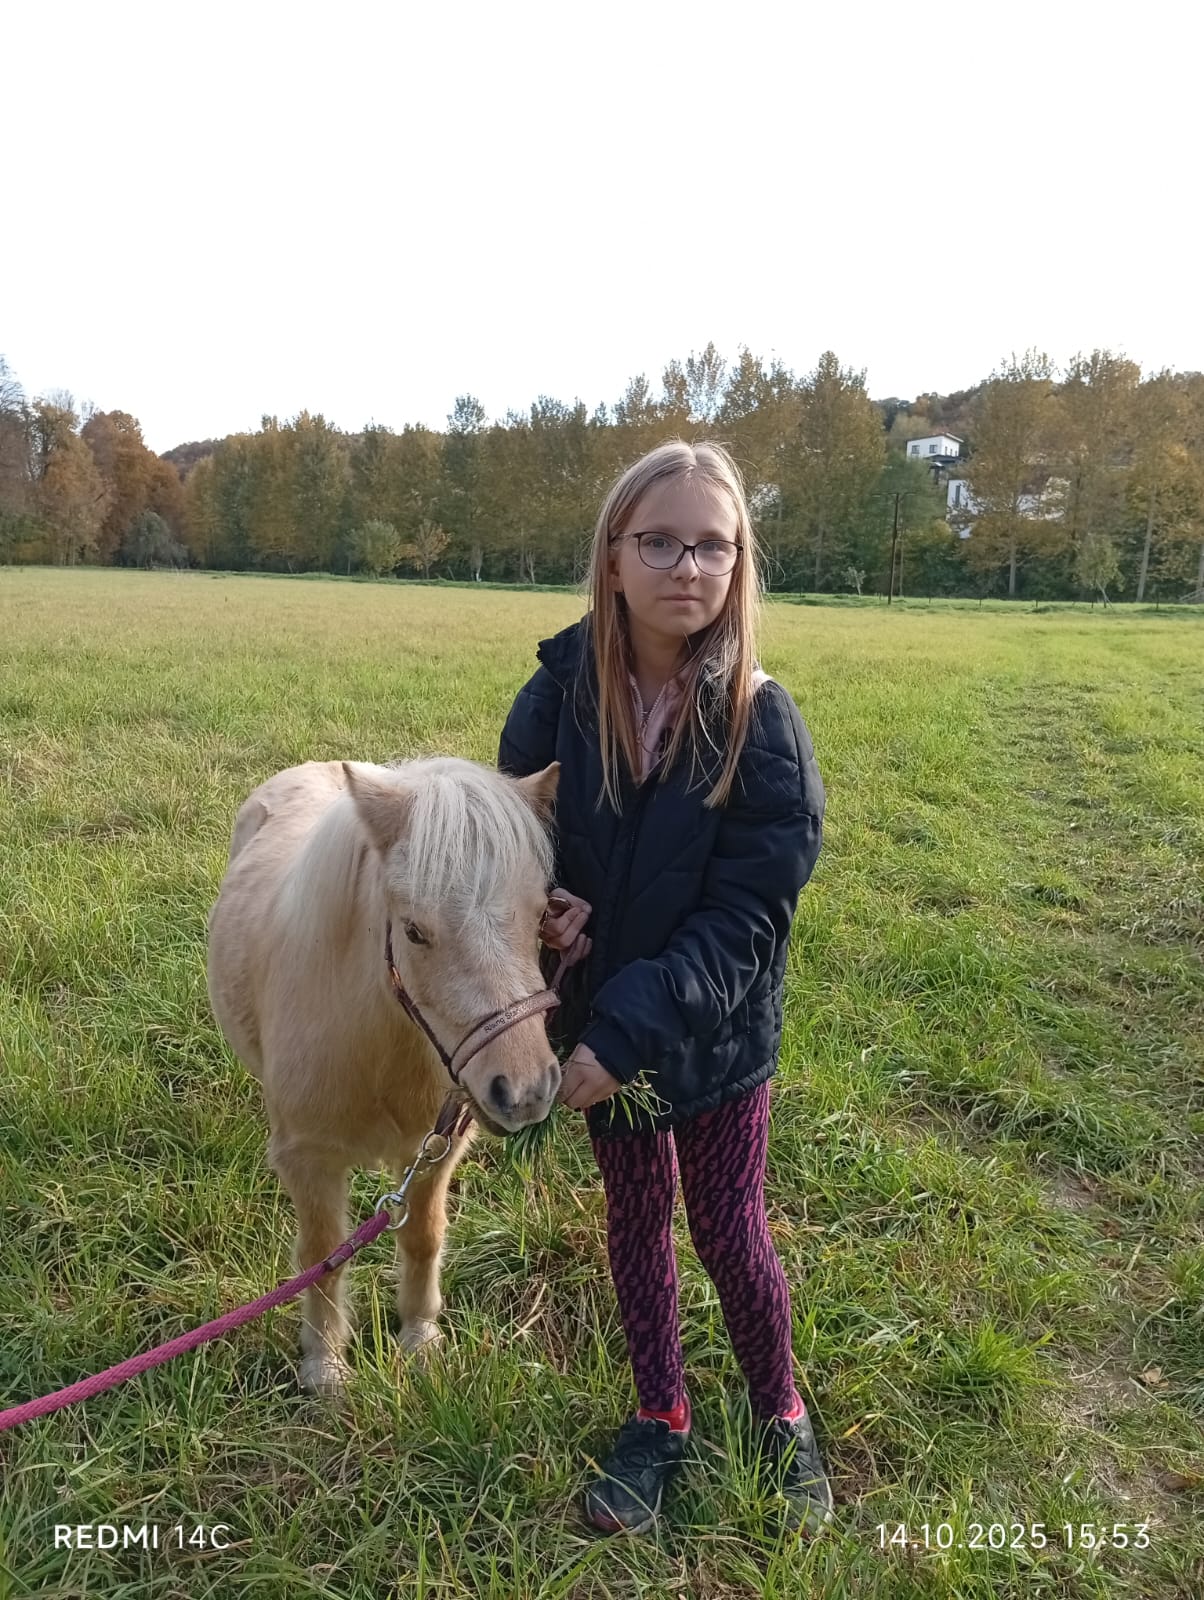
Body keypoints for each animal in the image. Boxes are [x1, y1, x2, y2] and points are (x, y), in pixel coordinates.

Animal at [206, 755, 563, 1395]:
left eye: (543, 912)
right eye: (415, 930)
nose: (525, 1091)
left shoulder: (432, 1150)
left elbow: (423, 1238)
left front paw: (420, 1341)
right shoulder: (312, 1161)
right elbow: (323, 1256)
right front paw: (325, 1370)